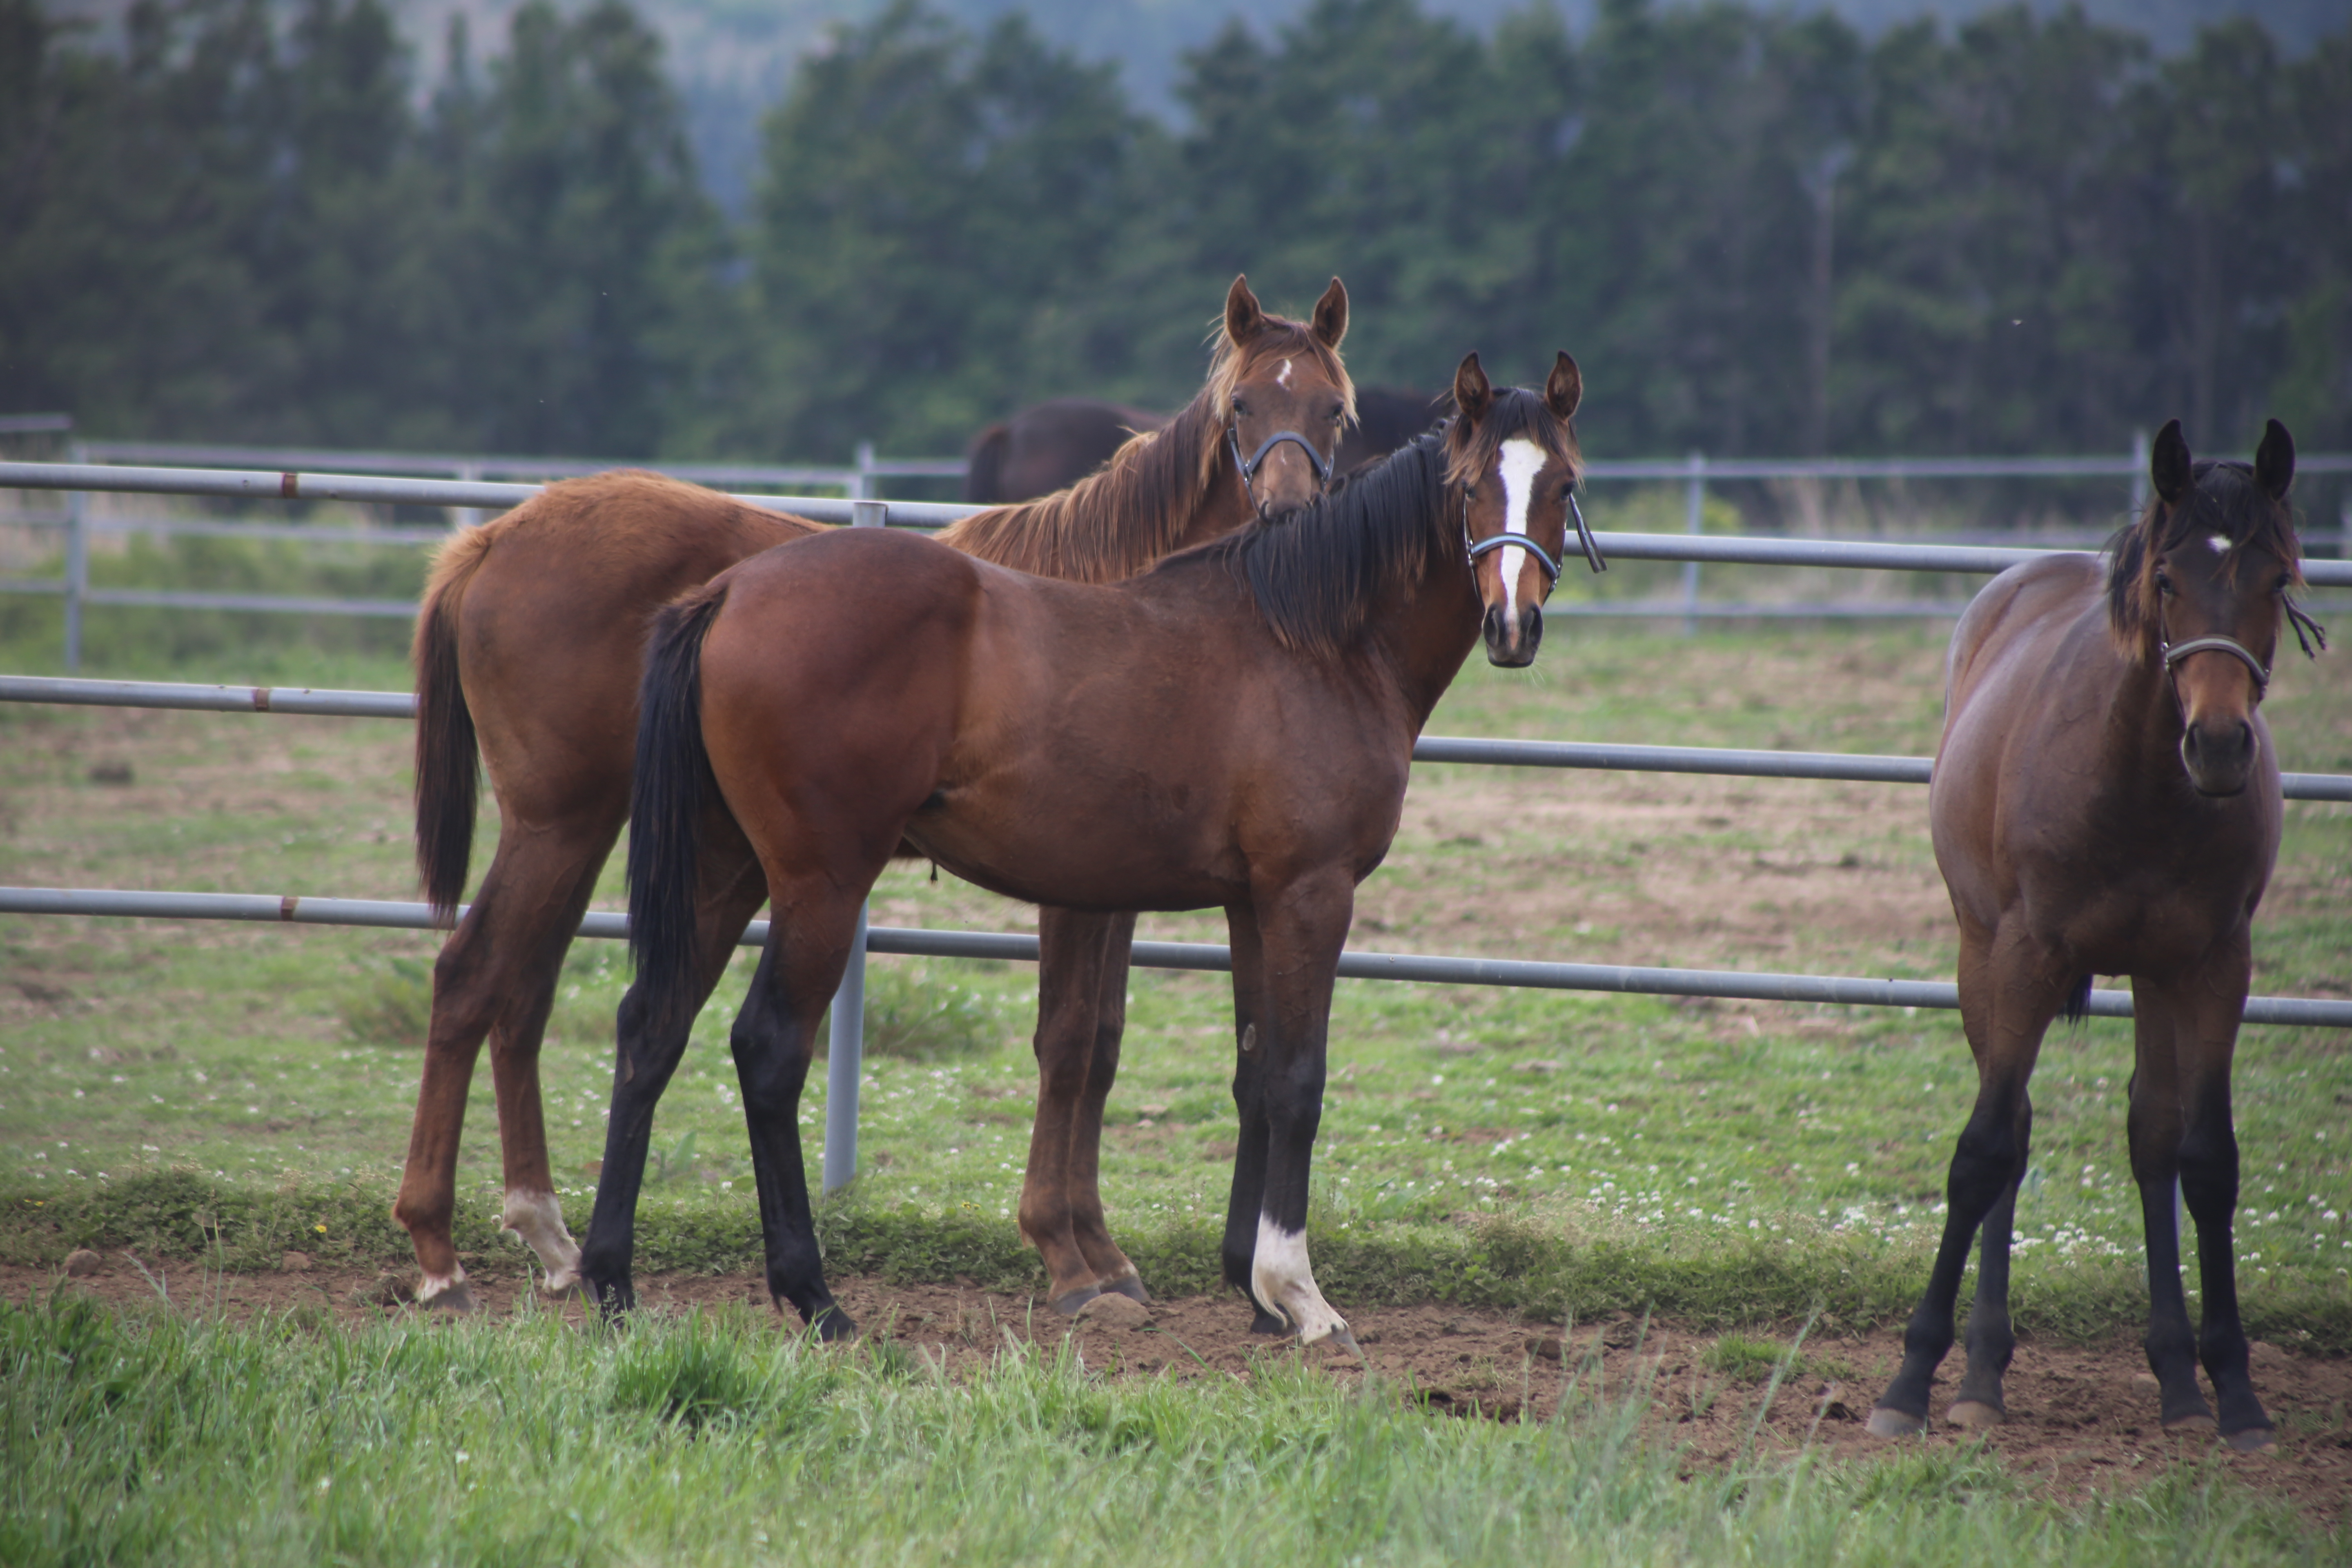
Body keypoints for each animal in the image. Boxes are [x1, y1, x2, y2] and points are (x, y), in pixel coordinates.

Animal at [392, 278, 1354, 1316]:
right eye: (1241, 406)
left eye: (1335, 410)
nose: (1290, 514)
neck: (1127, 600)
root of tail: (490, 539)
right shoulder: (1077, 889)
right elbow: (1070, 1043)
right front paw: (1072, 1258)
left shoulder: (1116, 882)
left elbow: (1097, 1044)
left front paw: (1097, 1251)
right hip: (558, 824)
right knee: (472, 980)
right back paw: (441, 1251)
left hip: (593, 829)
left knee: (523, 995)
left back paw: (551, 1236)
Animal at [611, 352, 1599, 1335]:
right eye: (1469, 487)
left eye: (1563, 484)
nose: (1513, 627)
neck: (1315, 641)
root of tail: (730, 591)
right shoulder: (1311, 893)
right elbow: (1298, 1081)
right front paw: (1300, 1294)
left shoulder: (1252, 902)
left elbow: (1254, 1073)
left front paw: (1252, 1286)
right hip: (820, 883)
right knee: (769, 1049)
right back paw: (814, 1297)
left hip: (725, 872)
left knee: (653, 1026)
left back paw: (612, 1284)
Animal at [1862, 416, 2323, 1457]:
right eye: (2167, 579)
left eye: (2276, 577)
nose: (2219, 745)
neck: (2138, 781)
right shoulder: (2024, 957)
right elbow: (1984, 1149)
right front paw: (1910, 1381)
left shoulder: (2214, 966)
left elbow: (2205, 1160)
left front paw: (2235, 1393)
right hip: (1979, 954)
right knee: (2016, 1126)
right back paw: (1981, 1372)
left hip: (2152, 977)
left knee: (2150, 1134)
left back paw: (2176, 1380)